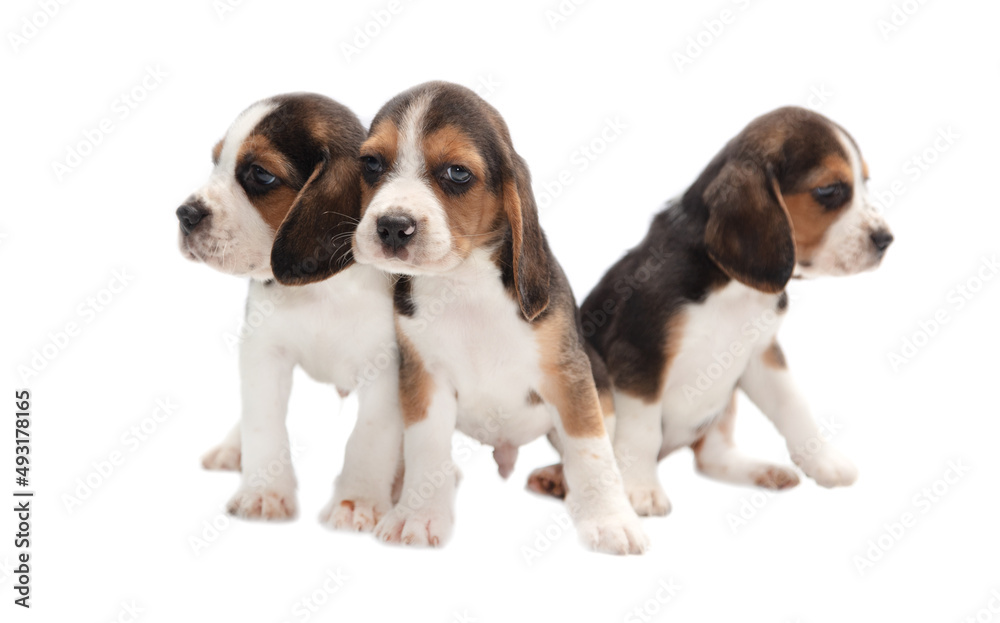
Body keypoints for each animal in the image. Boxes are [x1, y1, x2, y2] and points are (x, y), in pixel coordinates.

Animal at [176, 94, 402, 532]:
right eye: (216, 162)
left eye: (261, 175)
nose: (185, 214)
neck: (323, 291)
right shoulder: (263, 353)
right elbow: (264, 424)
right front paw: (263, 492)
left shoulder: (387, 369)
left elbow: (370, 436)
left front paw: (357, 501)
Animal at [274, 81, 648, 556]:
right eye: (371, 163)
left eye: (457, 173)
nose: (392, 226)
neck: (463, 283)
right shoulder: (424, 378)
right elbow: (427, 447)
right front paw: (417, 516)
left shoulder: (569, 376)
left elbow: (590, 451)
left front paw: (611, 520)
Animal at [528, 107, 896, 516]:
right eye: (829, 191)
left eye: (864, 183)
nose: (886, 240)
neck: (729, 284)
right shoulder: (640, 357)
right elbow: (641, 431)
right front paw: (640, 489)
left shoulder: (761, 354)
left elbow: (793, 407)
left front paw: (825, 462)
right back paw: (557, 479)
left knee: (712, 458)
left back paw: (759, 470)